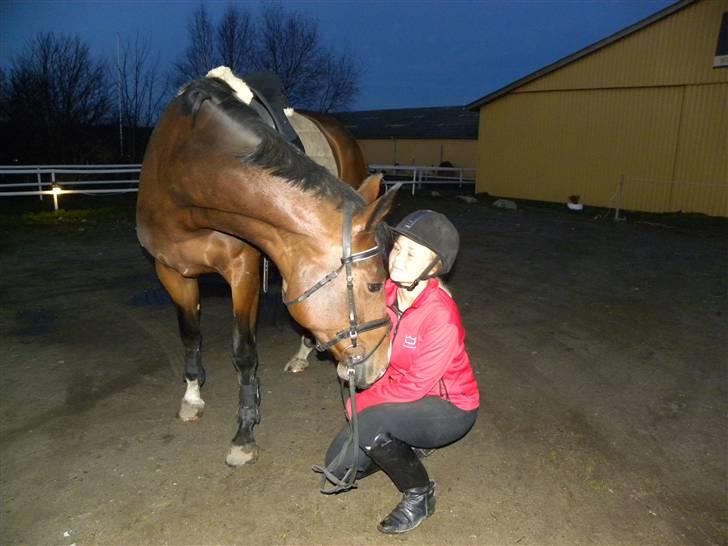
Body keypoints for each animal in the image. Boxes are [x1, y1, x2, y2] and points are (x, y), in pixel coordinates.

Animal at [136, 69, 398, 464]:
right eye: (374, 284)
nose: (382, 364)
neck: (182, 175)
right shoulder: (171, 272)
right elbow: (190, 335)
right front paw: (192, 395)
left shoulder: (242, 271)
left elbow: (244, 352)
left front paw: (244, 432)